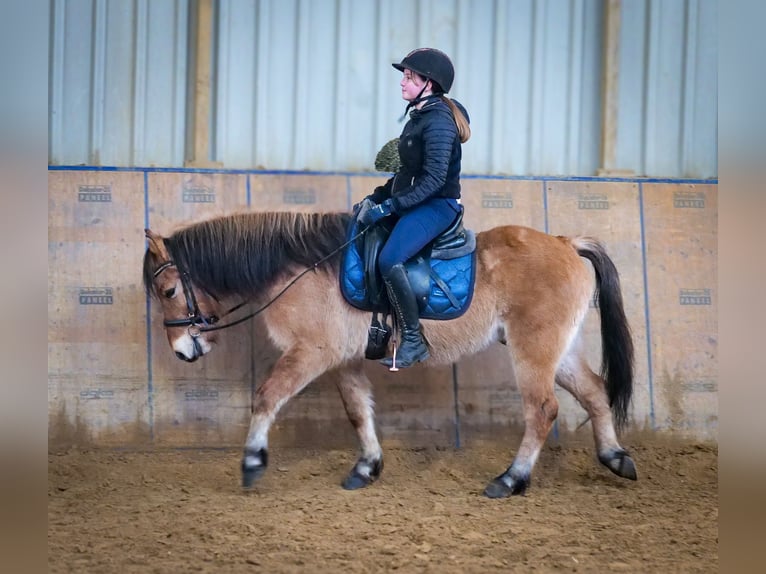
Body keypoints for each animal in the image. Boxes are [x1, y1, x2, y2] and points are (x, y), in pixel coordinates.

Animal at [142, 212, 636, 500]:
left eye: (168, 291)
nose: (182, 351)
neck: (300, 267)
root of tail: (566, 242)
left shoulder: (312, 352)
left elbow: (266, 396)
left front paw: (251, 462)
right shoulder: (342, 360)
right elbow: (358, 411)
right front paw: (367, 467)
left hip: (533, 349)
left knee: (543, 410)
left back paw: (511, 479)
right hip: (559, 350)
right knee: (594, 392)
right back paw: (614, 457)